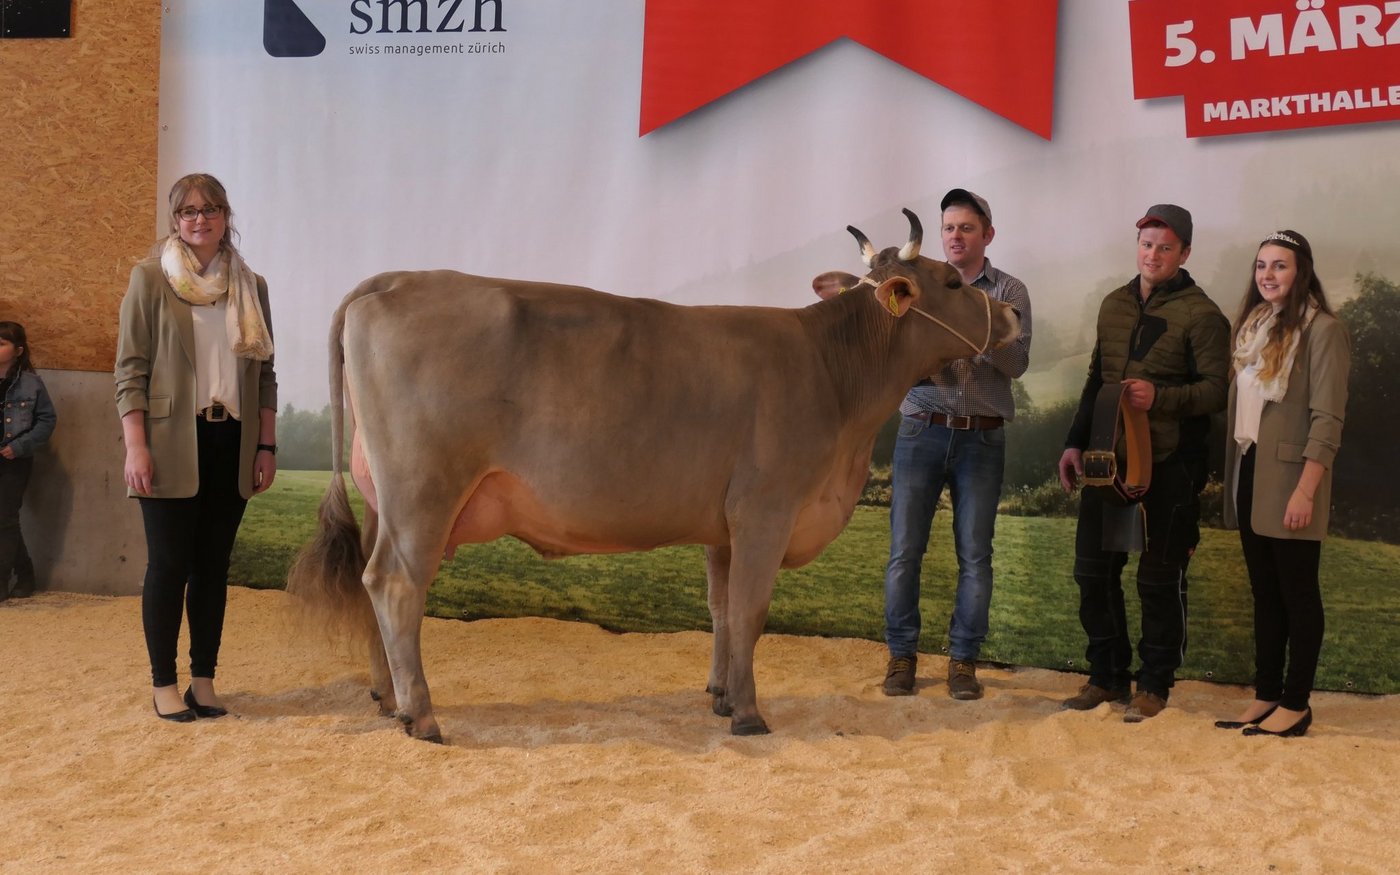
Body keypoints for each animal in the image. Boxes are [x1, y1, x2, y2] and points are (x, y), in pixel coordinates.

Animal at [287, 210, 1021, 742]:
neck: (834, 375)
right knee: (395, 584)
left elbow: (723, 610)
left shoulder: (723, 527)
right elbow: (752, 609)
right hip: (425, 491)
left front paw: (721, 695)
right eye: (955, 282)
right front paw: (749, 713)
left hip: (385, 497)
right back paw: (422, 714)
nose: (1014, 314)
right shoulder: (766, 509)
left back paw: (388, 697)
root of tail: (392, 280)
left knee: (371, 578)